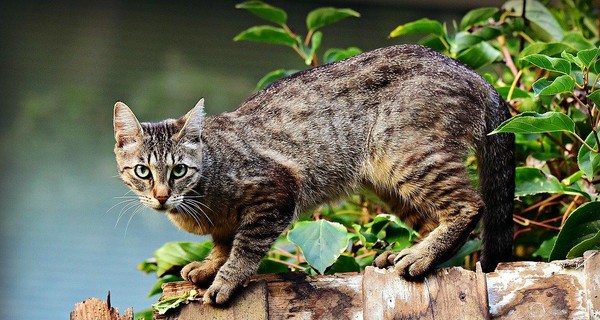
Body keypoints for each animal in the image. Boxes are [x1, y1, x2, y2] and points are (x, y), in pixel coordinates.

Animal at [113, 44, 516, 304]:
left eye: (179, 170)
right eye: (142, 171)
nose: (161, 196)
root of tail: (474, 74)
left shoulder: (276, 192)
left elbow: (245, 246)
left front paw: (226, 279)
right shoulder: (226, 223)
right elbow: (223, 242)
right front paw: (210, 265)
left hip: (407, 155)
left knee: (469, 206)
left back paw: (420, 256)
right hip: (388, 182)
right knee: (437, 219)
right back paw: (409, 253)